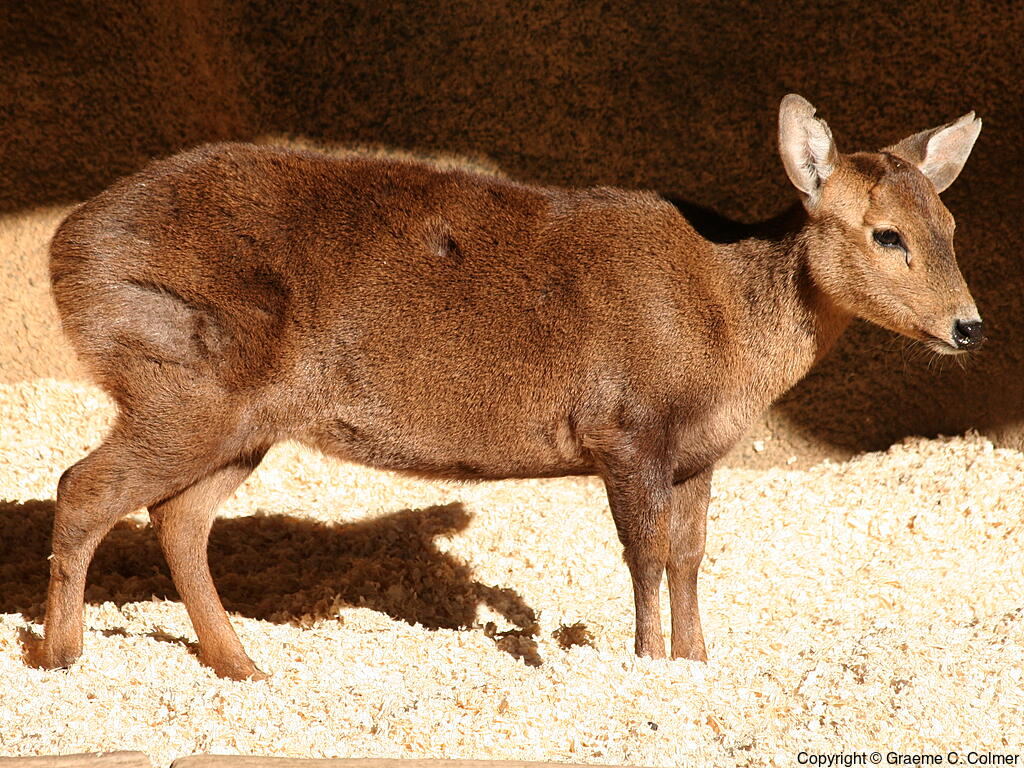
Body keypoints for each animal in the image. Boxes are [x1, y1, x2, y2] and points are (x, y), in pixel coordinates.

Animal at [39, 94, 983, 680]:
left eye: (949, 221)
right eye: (887, 234)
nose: (969, 326)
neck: (731, 330)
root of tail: (65, 252)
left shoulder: (699, 454)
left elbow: (688, 558)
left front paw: (697, 664)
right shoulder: (625, 425)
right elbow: (645, 556)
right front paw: (648, 664)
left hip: (237, 415)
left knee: (177, 516)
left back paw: (239, 663)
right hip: (182, 377)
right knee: (84, 486)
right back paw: (61, 654)